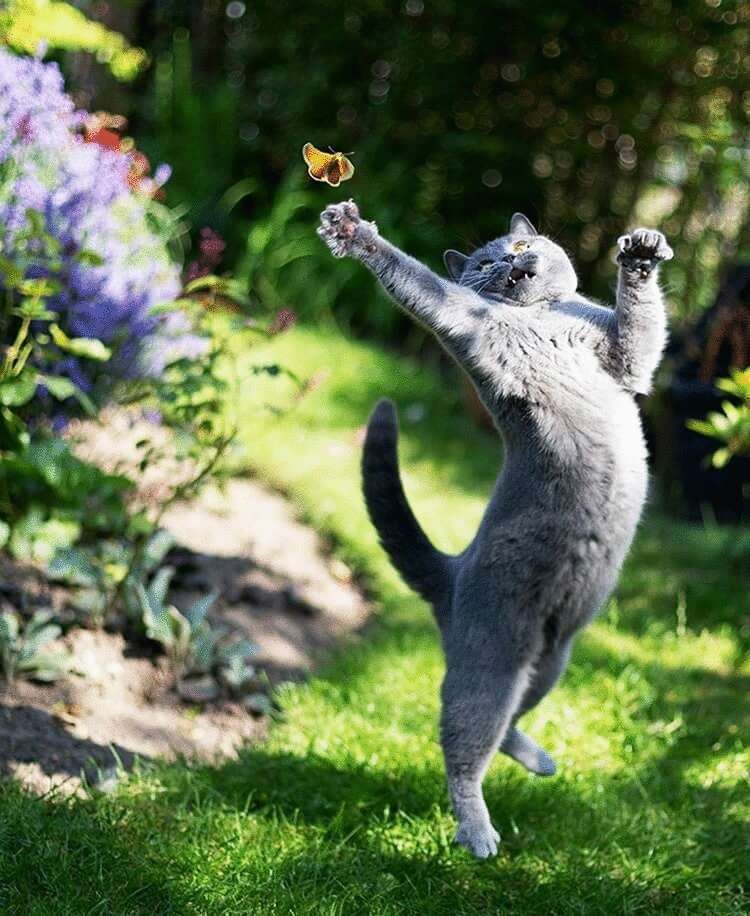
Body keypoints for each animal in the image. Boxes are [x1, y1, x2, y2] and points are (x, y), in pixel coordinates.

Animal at [314, 200, 672, 860]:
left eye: (519, 247)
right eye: (486, 262)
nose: (512, 261)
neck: (542, 319)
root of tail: (450, 573)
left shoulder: (621, 358)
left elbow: (640, 328)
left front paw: (640, 251)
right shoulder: (464, 320)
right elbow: (420, 282)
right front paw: (353, 233)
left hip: (552, 657)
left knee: (506, 726)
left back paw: (540, 761)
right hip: (492, 660)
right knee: (463, 743)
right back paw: (477, 833)